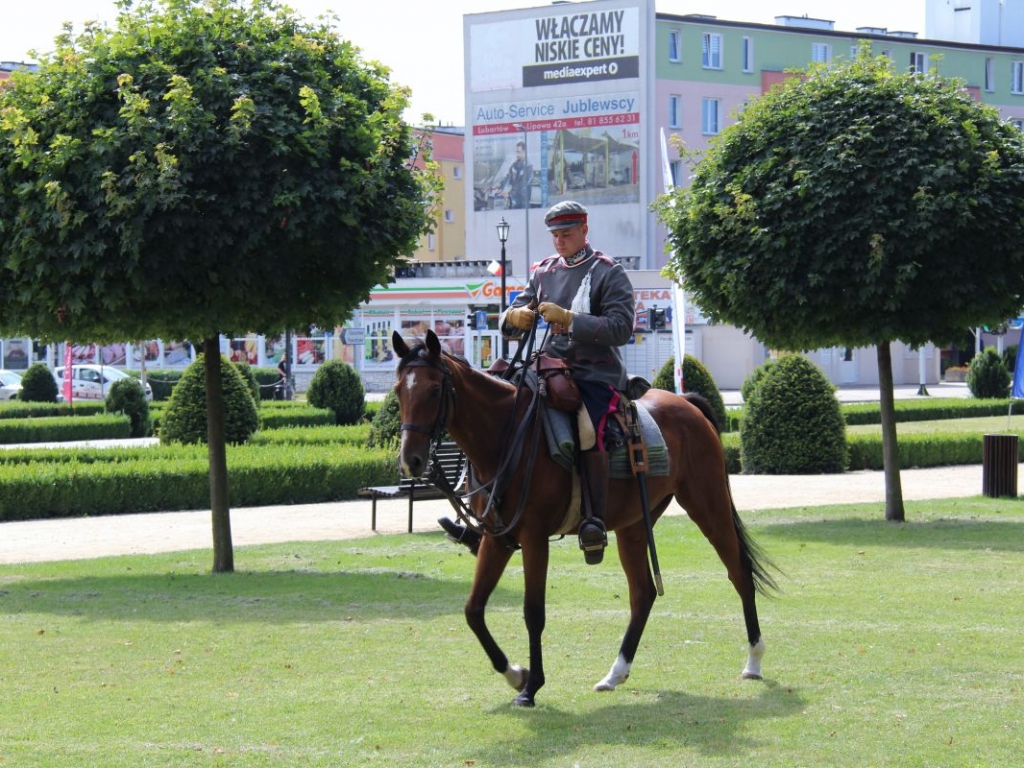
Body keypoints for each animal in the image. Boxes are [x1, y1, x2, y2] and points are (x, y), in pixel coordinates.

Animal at [391, 331, 774, 708]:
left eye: (434, 389)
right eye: (398, 391)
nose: (411, 460)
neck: (506, 435)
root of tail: (688, 404)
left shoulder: (533, 537)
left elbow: (533, 612)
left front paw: (532, 686)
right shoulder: (497, 538)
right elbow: (473, 609)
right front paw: (515, 674)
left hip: (708, 505)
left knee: (739, 573)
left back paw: (754, 660)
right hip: (634, 524)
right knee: (643, 593)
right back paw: (615, 673)